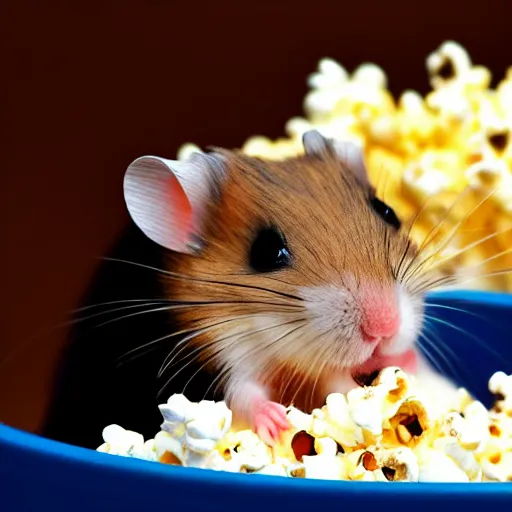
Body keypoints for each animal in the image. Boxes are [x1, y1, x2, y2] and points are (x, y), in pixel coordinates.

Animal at [41, 131, 456, 448]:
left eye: (388, 212)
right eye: (266, 251)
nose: (385, 328)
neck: (280, 354)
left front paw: (406, 363)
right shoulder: (224, 349)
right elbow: (243, 395)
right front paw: (281, 425)